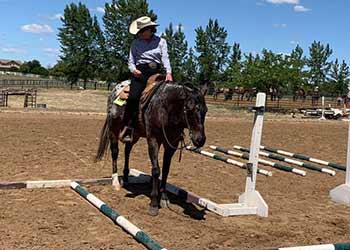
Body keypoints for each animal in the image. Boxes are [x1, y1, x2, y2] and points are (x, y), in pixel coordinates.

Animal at [94, 76, 208, 217]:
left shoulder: (171, 144)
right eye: (189, 108)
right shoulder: (153, 140)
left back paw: (126, 178)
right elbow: (156, 170)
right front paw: (154, 203)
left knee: (127, 151)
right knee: (115, 152)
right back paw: (115, 182)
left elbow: (165, 170)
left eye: (205, 110)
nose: (200, 140)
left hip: (134, 135)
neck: (165, 109)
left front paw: (164, 198)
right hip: (113, 130)